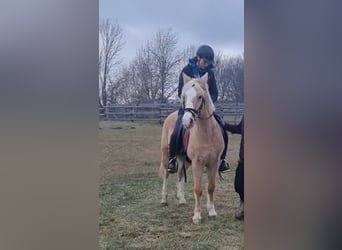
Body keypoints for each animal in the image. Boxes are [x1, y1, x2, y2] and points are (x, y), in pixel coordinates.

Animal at [160, 73, 224, 225]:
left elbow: (210, 187)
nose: (186, 121)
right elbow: (198, 189)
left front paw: (211, 211)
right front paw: (197, 215)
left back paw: (181, 199)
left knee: (180, 175)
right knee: (166, 174)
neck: (206, 134)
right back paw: (164, 199)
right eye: (183, 96)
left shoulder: (213, 163)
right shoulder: (197, 163)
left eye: (200, 96)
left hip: (184, 160)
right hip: (166, 156)